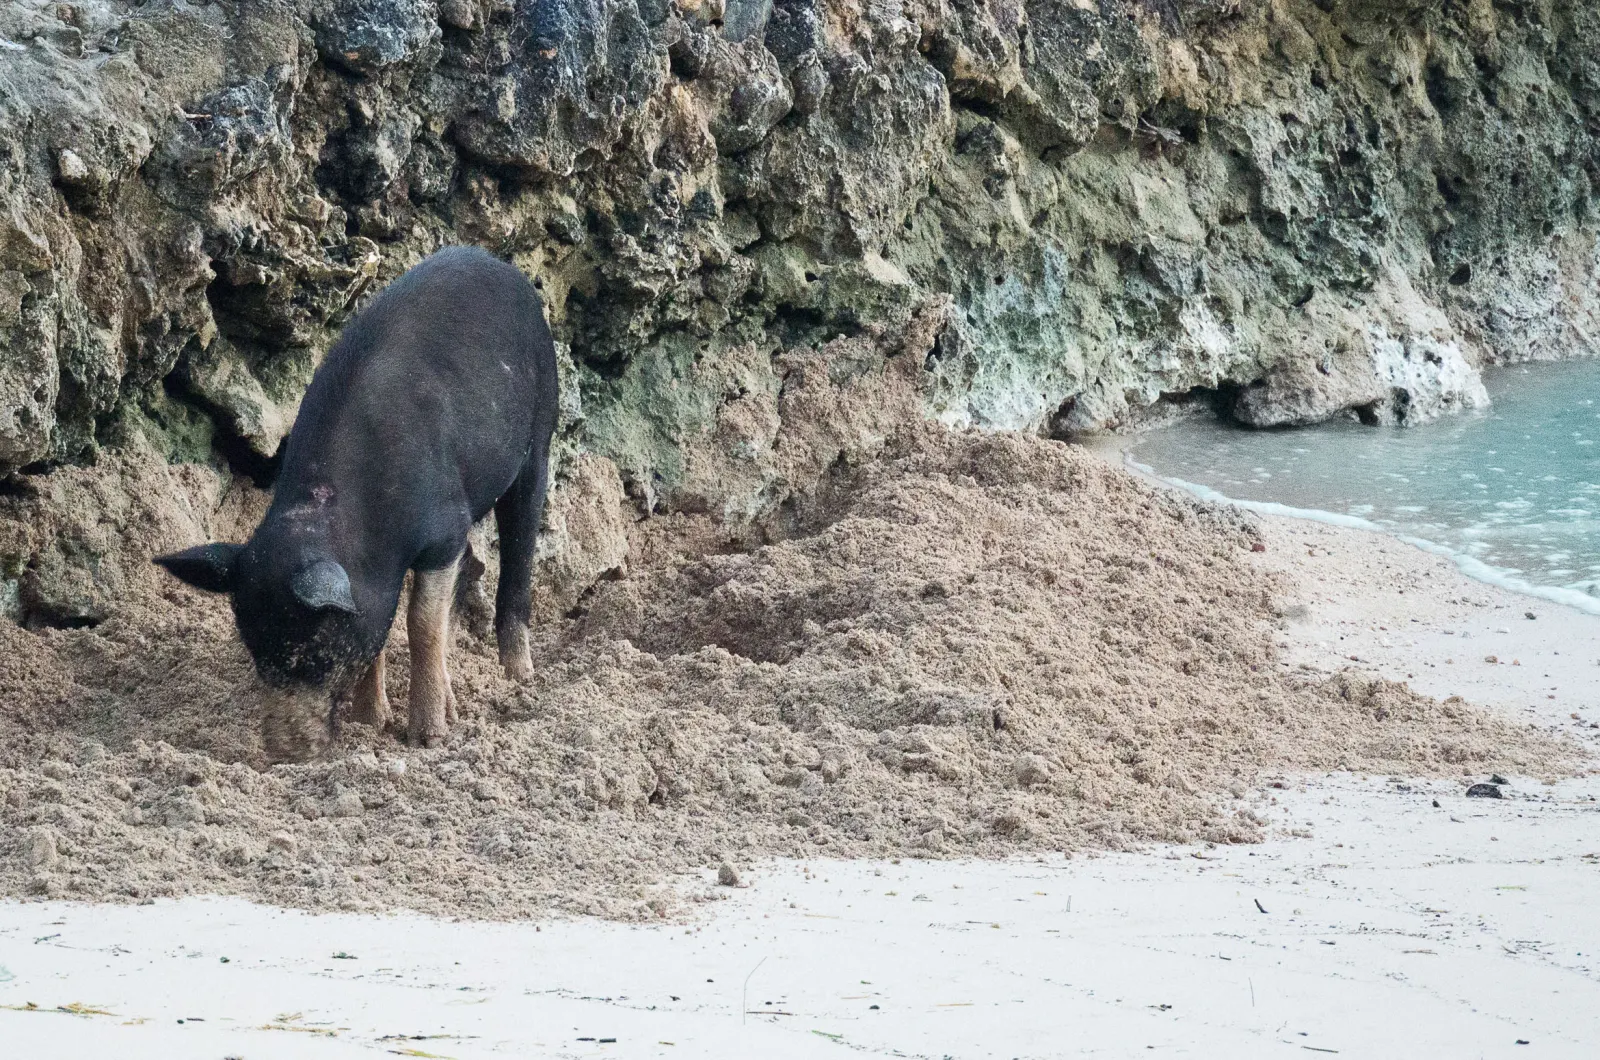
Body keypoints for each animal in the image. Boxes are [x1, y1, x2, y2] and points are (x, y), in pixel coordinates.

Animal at [154, 246, 559, 759]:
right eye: (254, 648)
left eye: (311, 652)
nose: (284, 754)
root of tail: (499, 264)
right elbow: (382, 631)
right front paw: (371, 722)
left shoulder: (443, 530)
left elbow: (420, 623)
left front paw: (428, 738)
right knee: (473, 563)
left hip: (540, 434)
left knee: (520, 552)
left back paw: (519, 678)